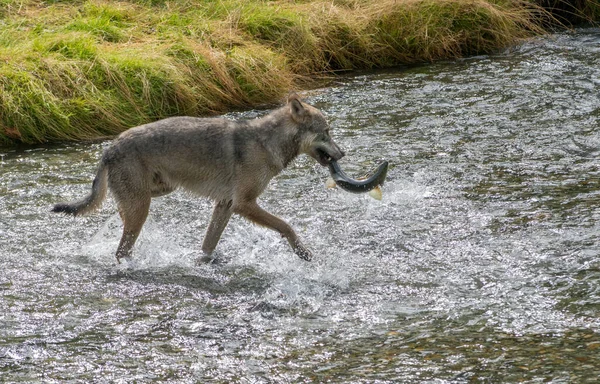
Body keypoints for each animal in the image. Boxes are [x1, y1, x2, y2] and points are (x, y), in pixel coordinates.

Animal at [55, 93, 346, 262]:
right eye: (327, 132)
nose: (343, 153)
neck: (266, 143)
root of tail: (109, 147)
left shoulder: (225, 205)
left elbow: (209, 244)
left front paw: (203, 262)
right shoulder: (244, 204)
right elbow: (286, 226)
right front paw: (303, 252)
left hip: (154, 194)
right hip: (143, 206)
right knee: (122, 250)